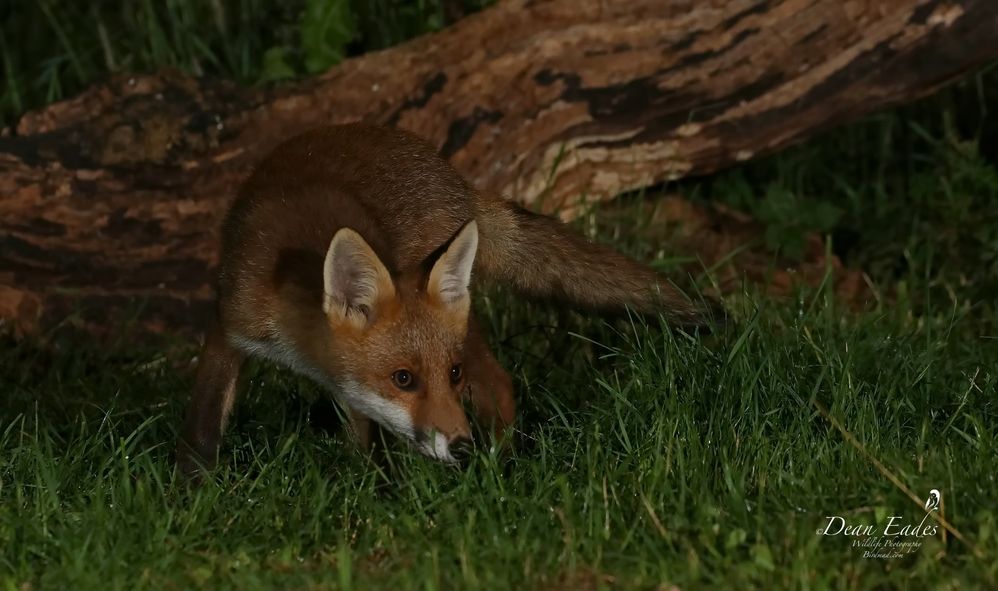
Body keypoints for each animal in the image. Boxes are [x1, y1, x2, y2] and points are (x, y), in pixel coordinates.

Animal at [176, 122, 716, 474]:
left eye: (450, 375)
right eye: (403, 379)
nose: (461, 447)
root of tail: (452, 176)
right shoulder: (232, 325)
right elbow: (203, 428)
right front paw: (196, 492)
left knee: (500, 383)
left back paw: (500, 472)